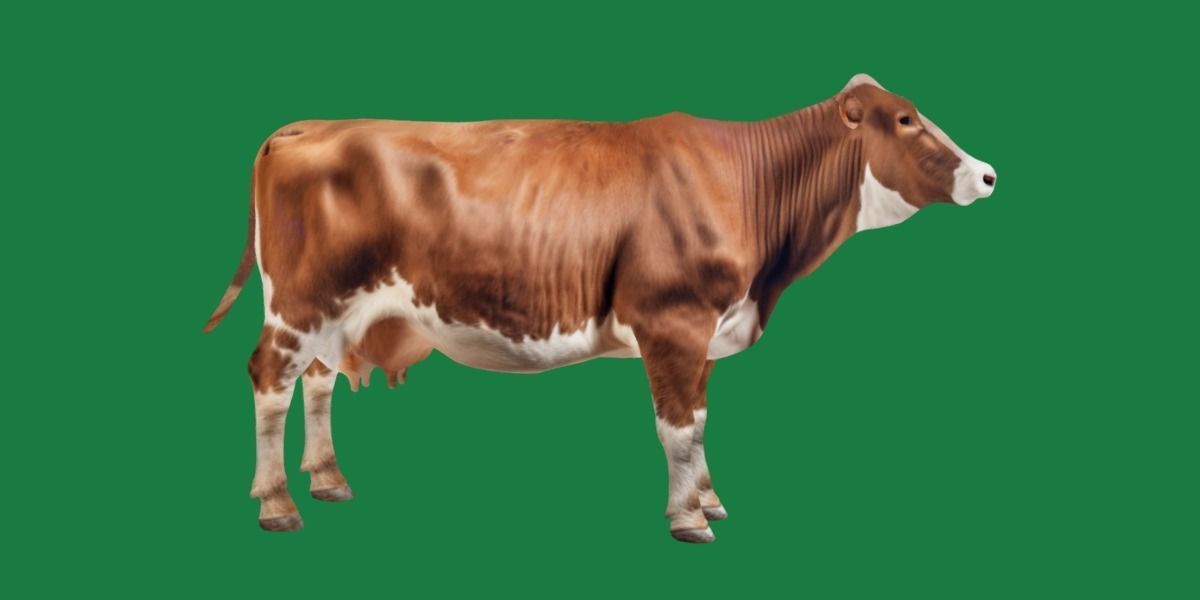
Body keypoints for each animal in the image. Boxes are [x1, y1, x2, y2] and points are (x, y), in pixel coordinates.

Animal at [205, 74, 996, 543]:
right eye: (905, 119)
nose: (987, 173)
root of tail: (309, 125)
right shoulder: (673, 319)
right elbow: (677, 427)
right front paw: (688, 517)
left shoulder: (707, 331)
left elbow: (699, 420)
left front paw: (708, 499)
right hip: (303, 302)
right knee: (270, 380)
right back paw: (278, 502)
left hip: (332, 315)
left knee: (316, 382)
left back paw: (328, 480)